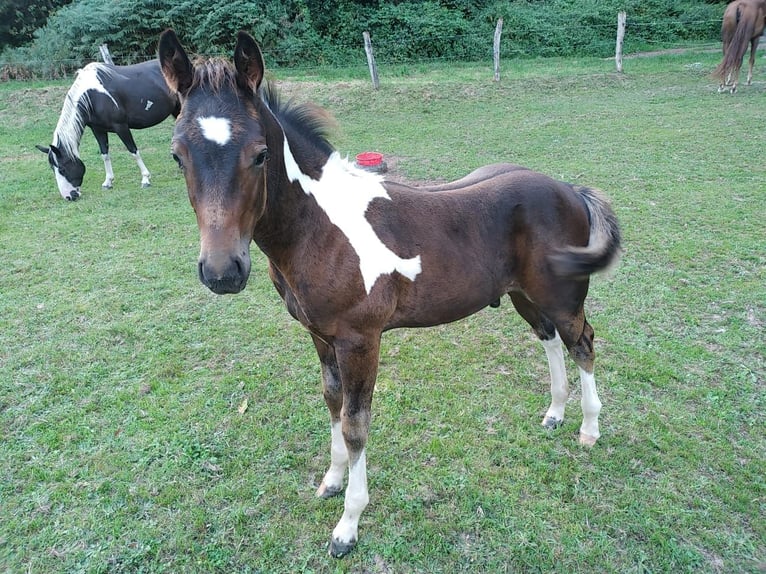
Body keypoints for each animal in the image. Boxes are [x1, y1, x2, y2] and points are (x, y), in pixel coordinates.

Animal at [36, 59, 179, 200]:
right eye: (52, 169)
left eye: (62, 169)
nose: (69, 196)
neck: (93, 96)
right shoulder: (98, 130)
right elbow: (104, 154)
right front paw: (108, 182)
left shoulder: (121, 126)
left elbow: (133, 151)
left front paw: (145, 179)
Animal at [158, 29, 622, 557]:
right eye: (177, 155)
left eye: (259, 154)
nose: (222, 272)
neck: (320, 227)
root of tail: (568, 188)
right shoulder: (320, 336)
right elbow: (332, 402)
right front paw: (331, 481)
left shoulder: (361, 339)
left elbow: (356, 425)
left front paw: (347, 525)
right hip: (526, 295)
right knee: (549, 339)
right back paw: (555, 414)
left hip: (563, 296)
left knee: (582, 342)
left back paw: (588, 429)